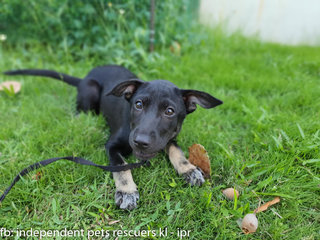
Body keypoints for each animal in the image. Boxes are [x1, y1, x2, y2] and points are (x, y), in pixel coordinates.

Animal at [4, 65, 222, 210]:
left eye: (170, 111)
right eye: (138, 104)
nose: (140, 142)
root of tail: (85, 77)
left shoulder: (169, 137)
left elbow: (176, 150)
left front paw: (189, 169)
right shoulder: (112, 145)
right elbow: (121, 166)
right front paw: (127, 192)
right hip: (90, 93)